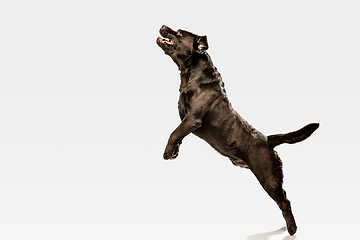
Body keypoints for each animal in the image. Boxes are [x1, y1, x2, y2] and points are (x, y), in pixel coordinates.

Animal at [156, 25, 320, 235]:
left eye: (179, 33)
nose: (163, 26)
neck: (191, 74)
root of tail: (268, 140)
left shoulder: (192, 119)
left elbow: (174, 133)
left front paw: (167, 152)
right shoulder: (185, 118)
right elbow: (179, 135)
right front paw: (175, 152)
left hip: (269, 178)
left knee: (285, 201)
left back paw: (292, 228)